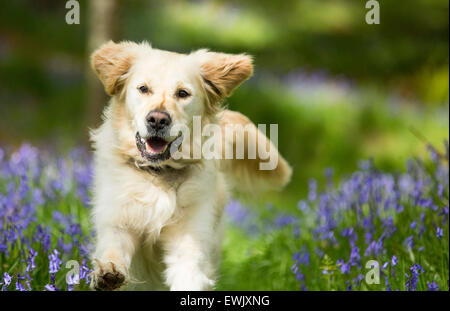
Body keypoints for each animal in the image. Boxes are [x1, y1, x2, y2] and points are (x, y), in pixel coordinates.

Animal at [89, 41, 292, 292]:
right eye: (143, 88)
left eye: (183, 93)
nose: (157, 120)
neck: (159, 173)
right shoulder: (117, 219)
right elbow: (113, 247)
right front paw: (108, 271)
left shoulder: (190, 243)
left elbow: (189, 275)